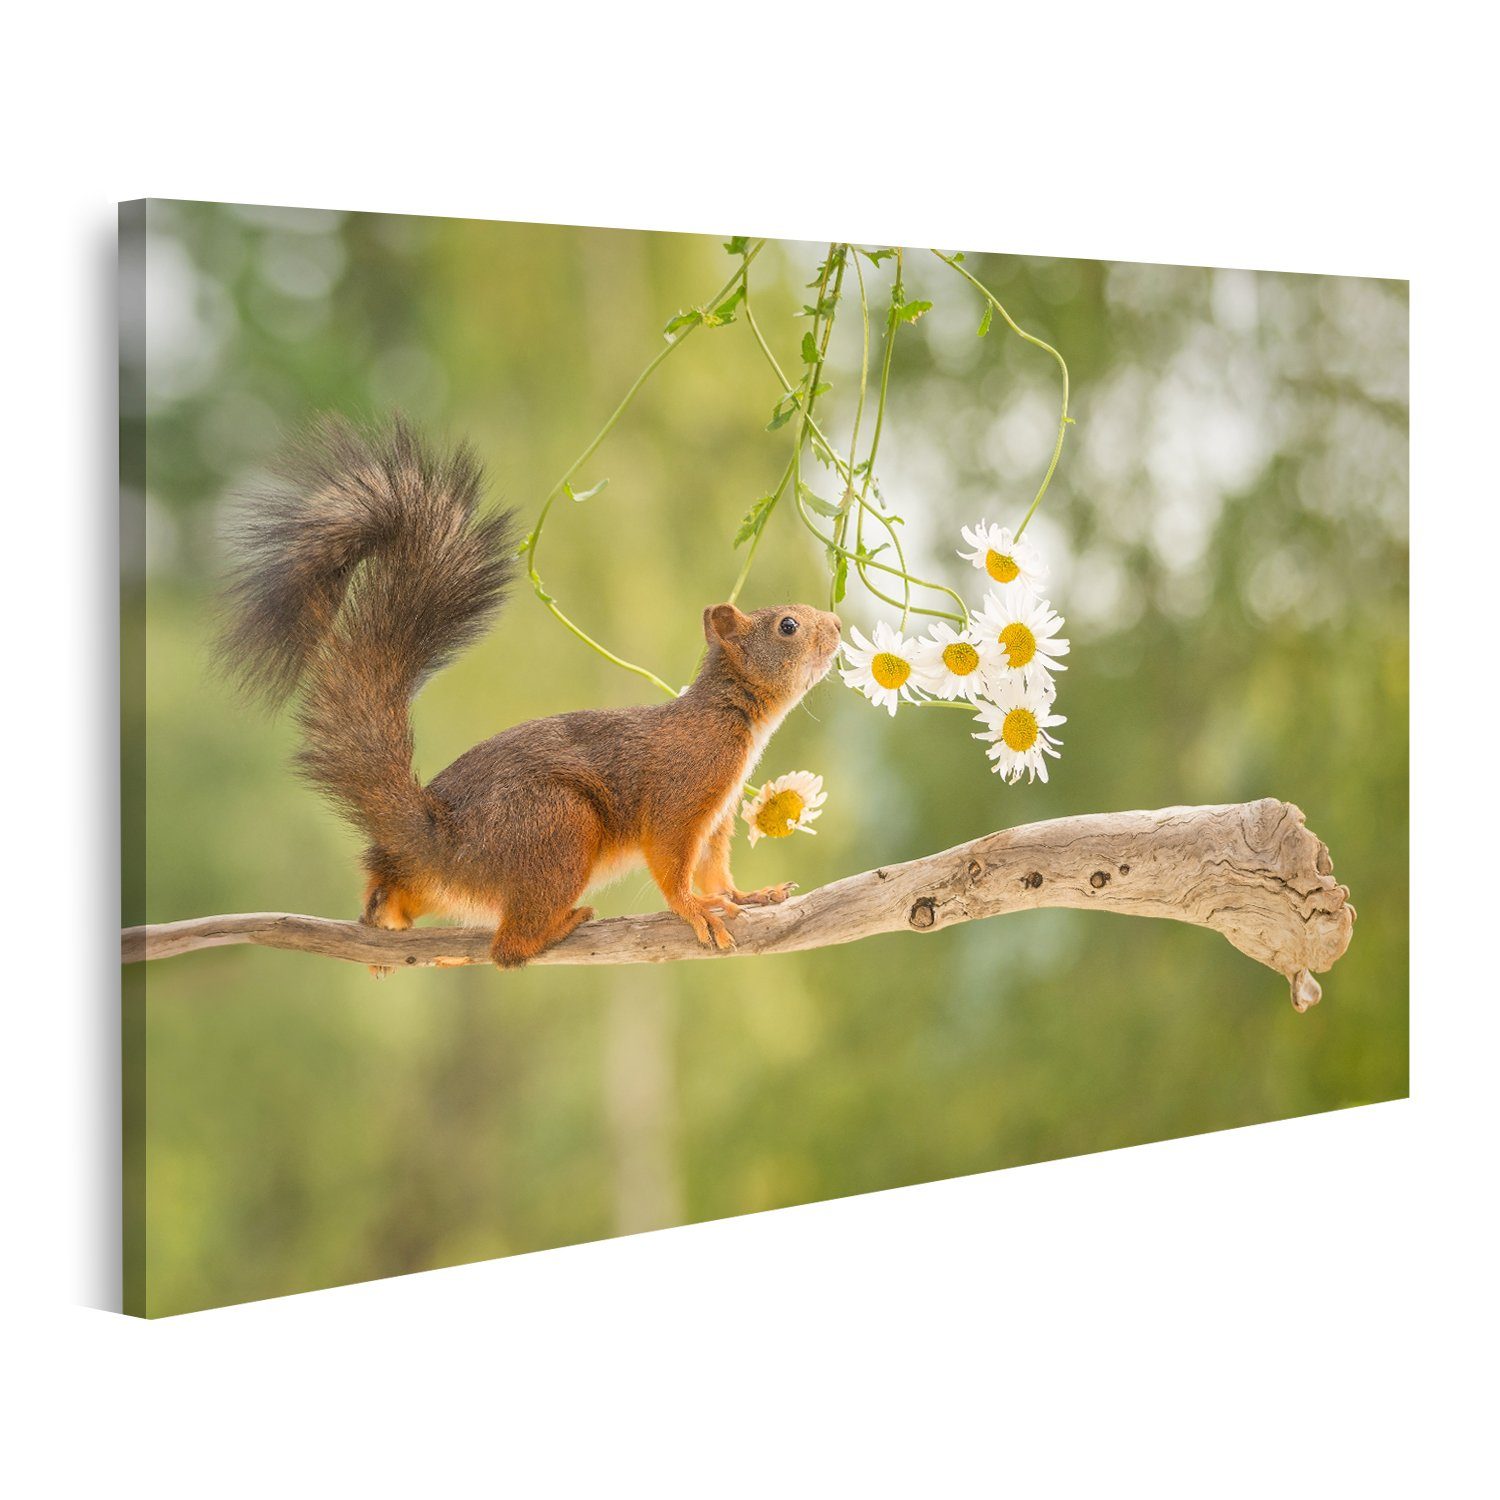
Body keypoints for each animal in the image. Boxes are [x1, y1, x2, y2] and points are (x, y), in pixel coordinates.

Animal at [218, 414, 843, 970]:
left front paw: (744, 896)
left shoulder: (716, 817)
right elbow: (672, 862)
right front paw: (695, 908)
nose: (838, 625)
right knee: (507, 950)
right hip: (558, 826)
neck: (733, 715)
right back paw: (558, 925)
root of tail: (442, 846)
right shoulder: (683, 791)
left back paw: (385, 916)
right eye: (788, 626)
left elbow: (716, 867)